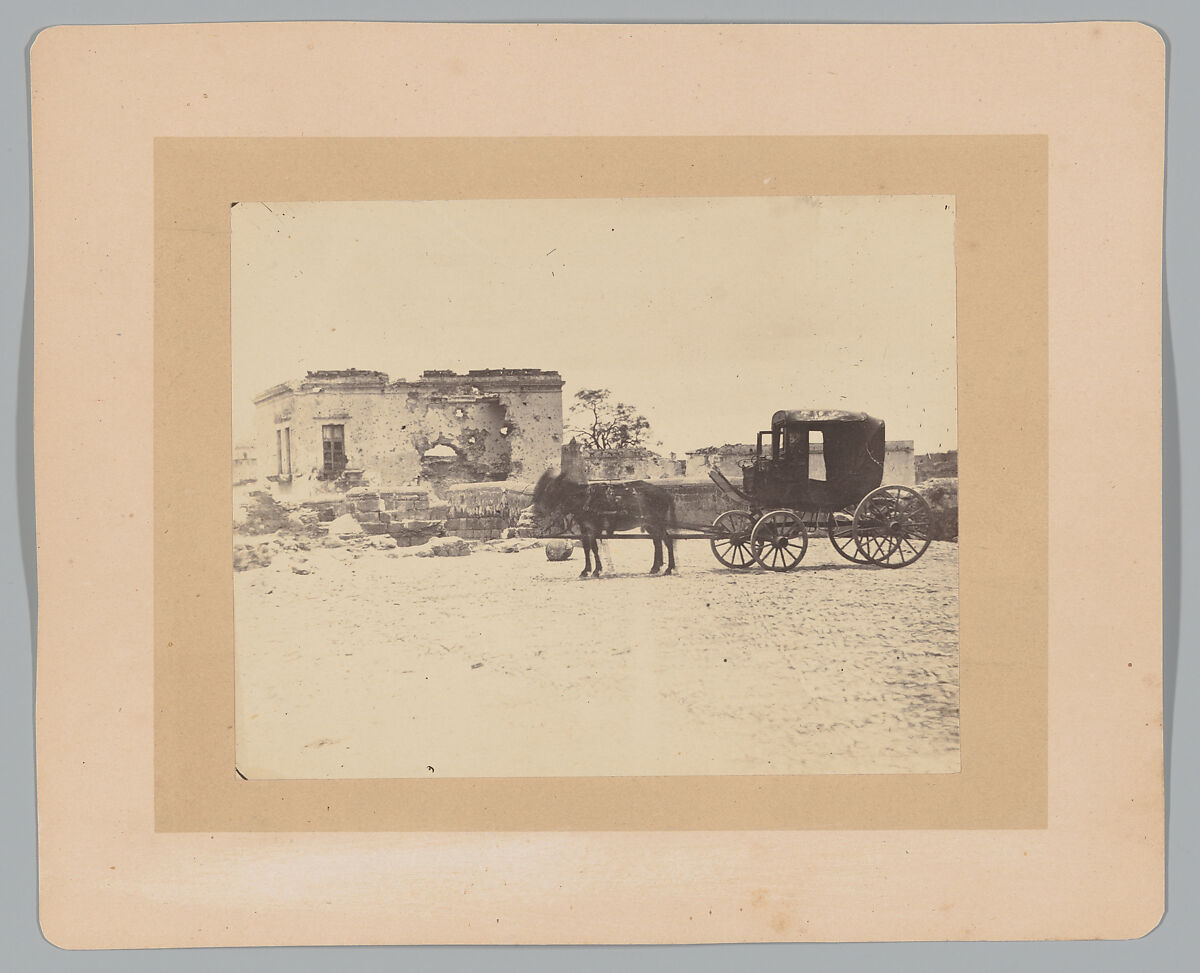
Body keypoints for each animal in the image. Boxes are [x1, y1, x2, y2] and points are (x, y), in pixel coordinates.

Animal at [532, 472, 681, 578]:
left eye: (550, 489)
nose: (538, 510)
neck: (584, 499)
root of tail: (665, 493)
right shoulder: (584, 528)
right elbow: (587, 548)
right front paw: (586, 570)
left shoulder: (595, 528)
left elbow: (594, 548)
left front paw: (596, 570)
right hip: (650, 524)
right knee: (657, 542)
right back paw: (655, 567)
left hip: (657, 522)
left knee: (667, 541)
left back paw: (668, 568)